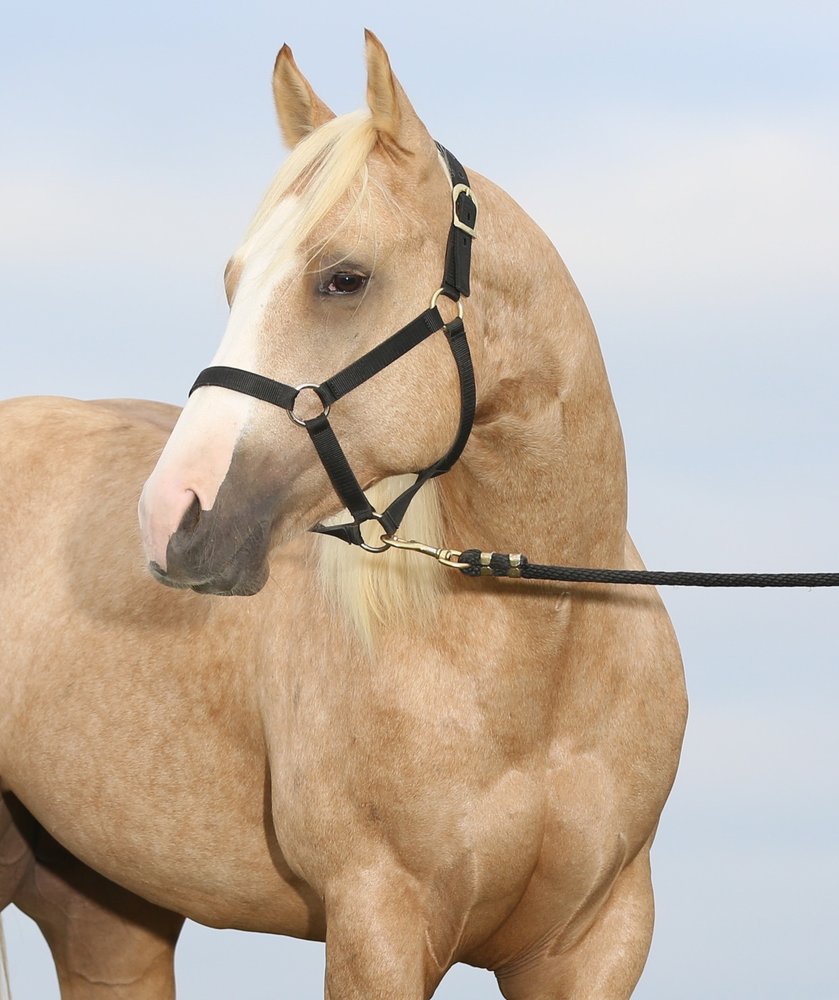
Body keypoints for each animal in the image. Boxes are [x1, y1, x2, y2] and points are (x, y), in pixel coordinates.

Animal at [0, 31, 687, 999]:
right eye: (234, 280)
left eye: (343, 278)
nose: (173, 517)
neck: (542, 660)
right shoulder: (377, 922)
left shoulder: (595, 943)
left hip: (104, 913)